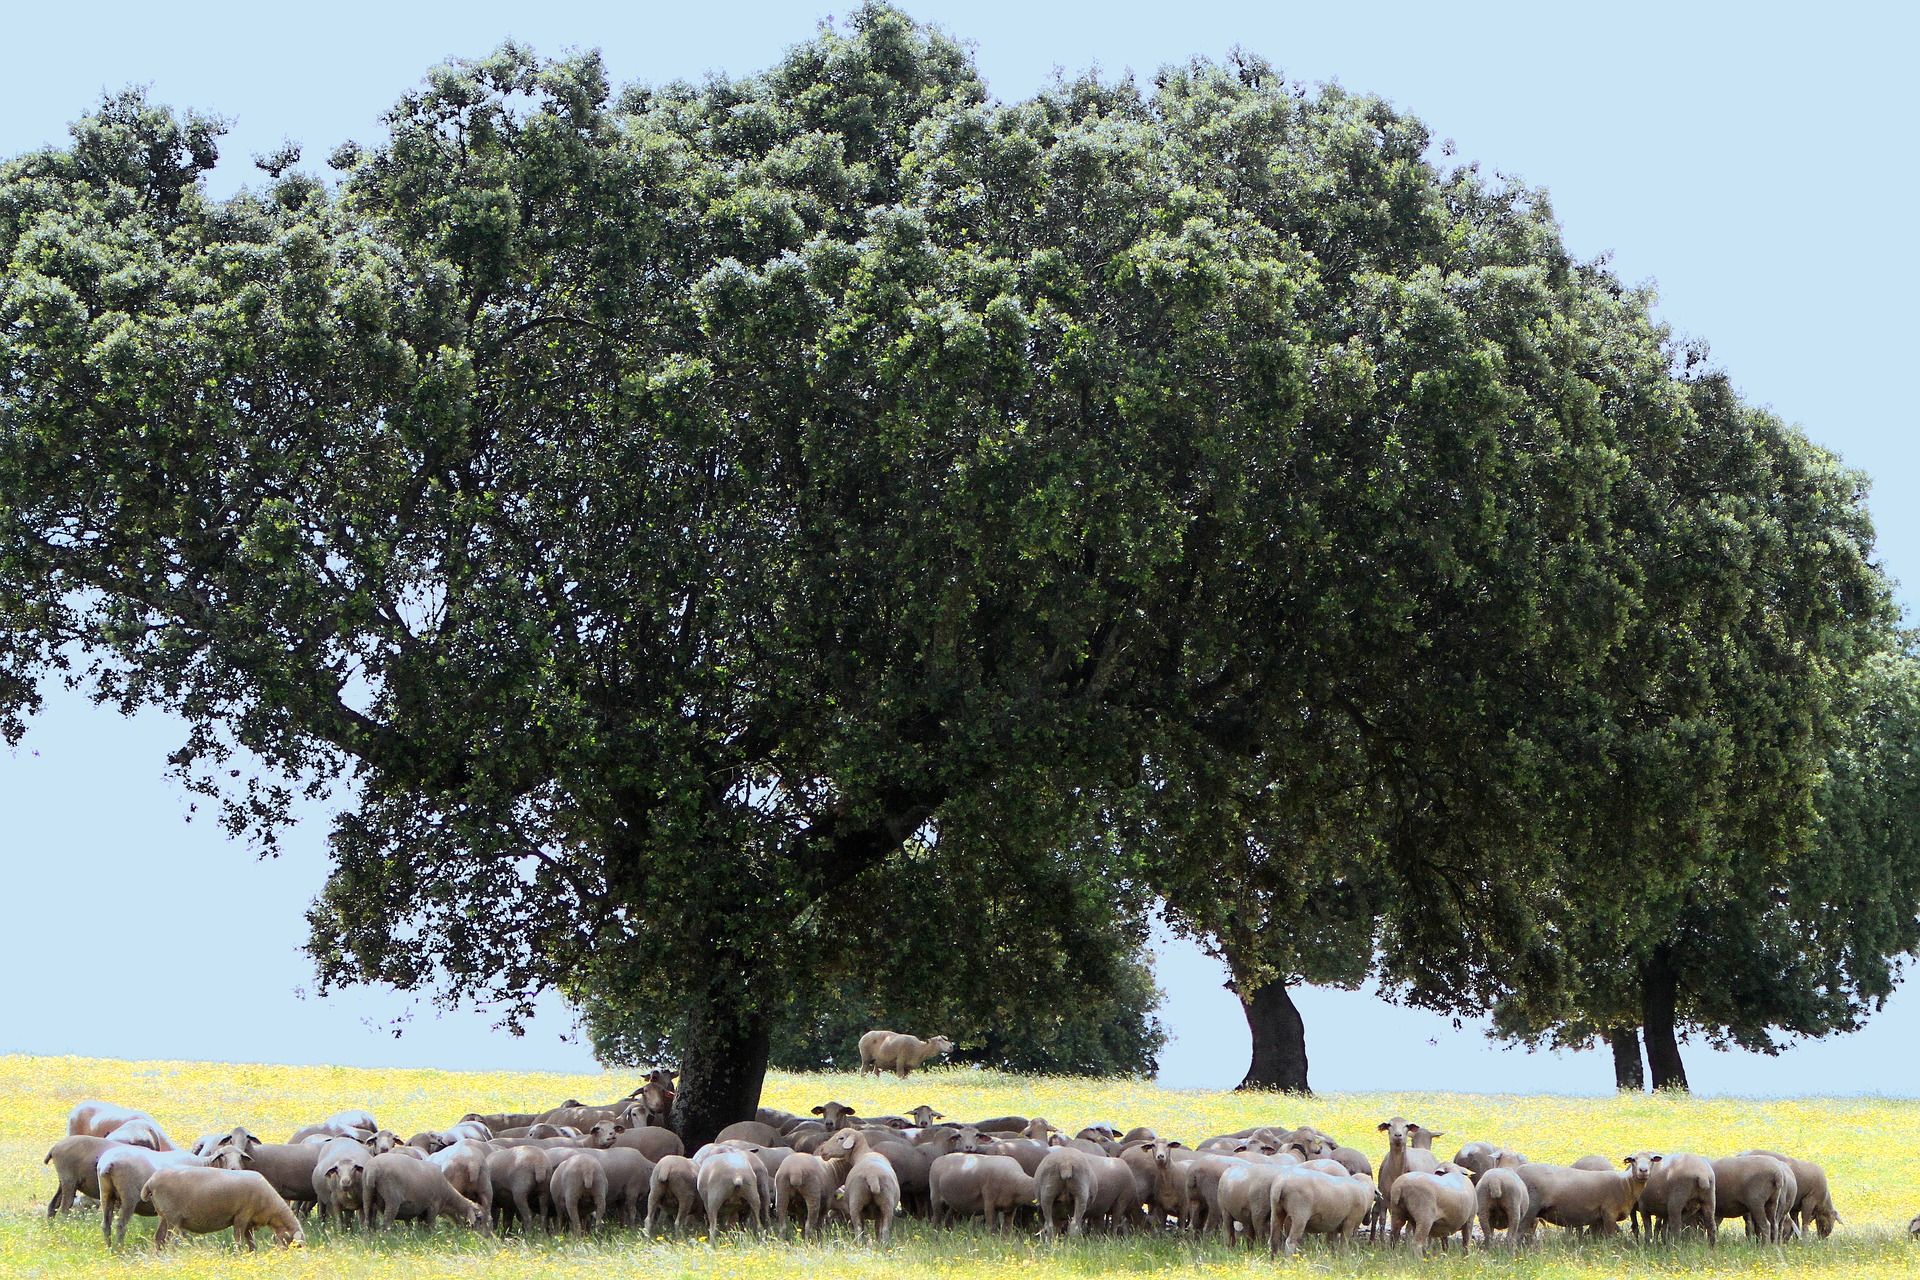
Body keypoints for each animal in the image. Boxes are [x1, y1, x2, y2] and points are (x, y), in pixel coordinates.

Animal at [147, 1174, 303, 1251]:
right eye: (296, 1244)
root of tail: (151, 1182)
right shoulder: (242, 1215)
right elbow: (238, 1238)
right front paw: (237, 1253)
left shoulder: (250, 1222)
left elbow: (251, 1241)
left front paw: (253, 1254)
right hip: (172, 1217)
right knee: (168, 1240)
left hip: (163, 1216)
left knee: (159, 1238)